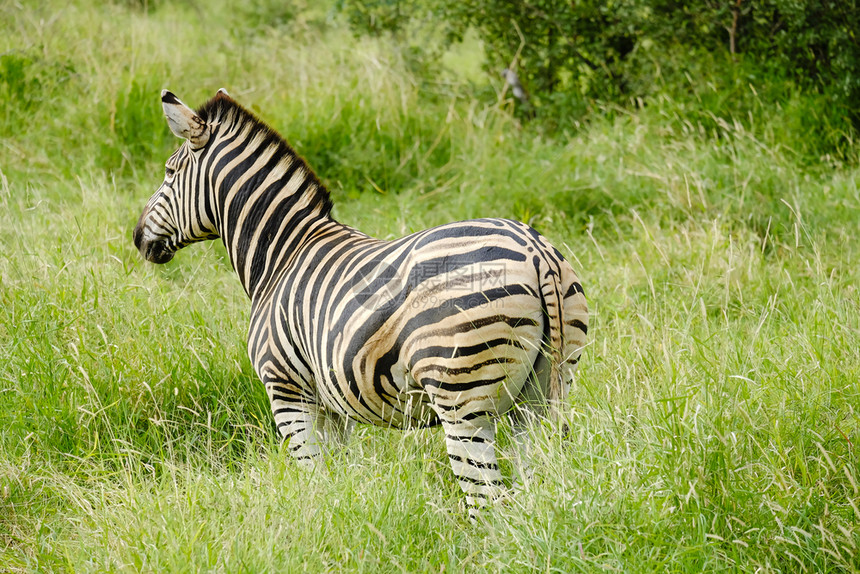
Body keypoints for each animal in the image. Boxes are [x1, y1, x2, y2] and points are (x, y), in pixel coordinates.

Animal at [134, 88, 588, 520]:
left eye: (169, 173)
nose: (137, 237)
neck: (282, 256)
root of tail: (535, 251)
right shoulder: (329, 404)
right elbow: (335, 482)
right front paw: (338, 526)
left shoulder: (287, 392)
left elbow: (313, 480)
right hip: (541, 395)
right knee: (534, 493)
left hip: (462, 397)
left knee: (488, 503)